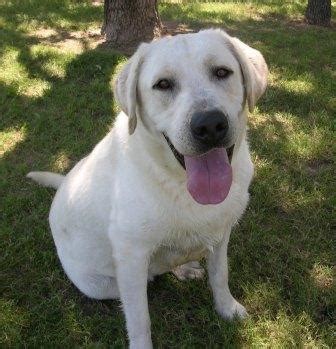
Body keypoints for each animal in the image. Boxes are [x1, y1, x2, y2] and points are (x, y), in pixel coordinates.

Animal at [28, 28, 268, 346]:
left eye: (221, 72)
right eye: (163, 84)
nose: (209, 125)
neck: (179, 183)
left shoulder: (221, 234)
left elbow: (220, 275)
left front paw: (226, 308)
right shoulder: (131, 257)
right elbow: (140, 318)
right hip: (100, 284)